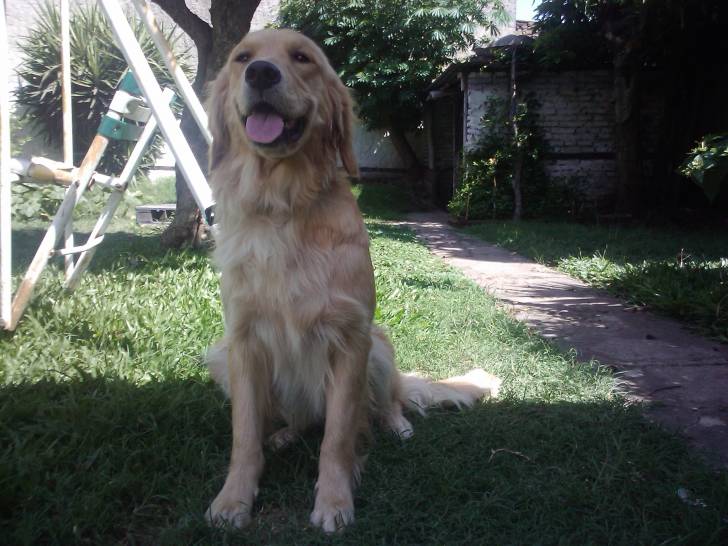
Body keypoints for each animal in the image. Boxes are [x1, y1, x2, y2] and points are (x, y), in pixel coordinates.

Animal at [204, 28, 501, 533]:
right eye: (242, 57)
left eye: (302, 58)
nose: (260, 73)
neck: (283, 205)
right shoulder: (241, 342)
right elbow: (244, 436)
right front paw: (233, 499)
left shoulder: (350, 339)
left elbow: (339, 436)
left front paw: (334, 501)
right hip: (222, 358)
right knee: (300, 421)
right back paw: (285, 434)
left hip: (378, 348)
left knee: (387, 401)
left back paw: (397, 424)